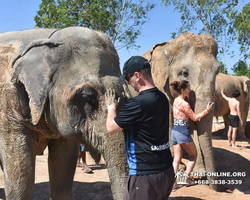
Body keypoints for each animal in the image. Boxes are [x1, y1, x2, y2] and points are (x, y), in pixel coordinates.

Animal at [143, 32, 221, 191]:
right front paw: (178, 169)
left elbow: (193, 122)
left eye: (218, 71)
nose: (216, 189)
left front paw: (199, 175)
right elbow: (167, 122)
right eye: (184, 73)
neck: (170, 45)